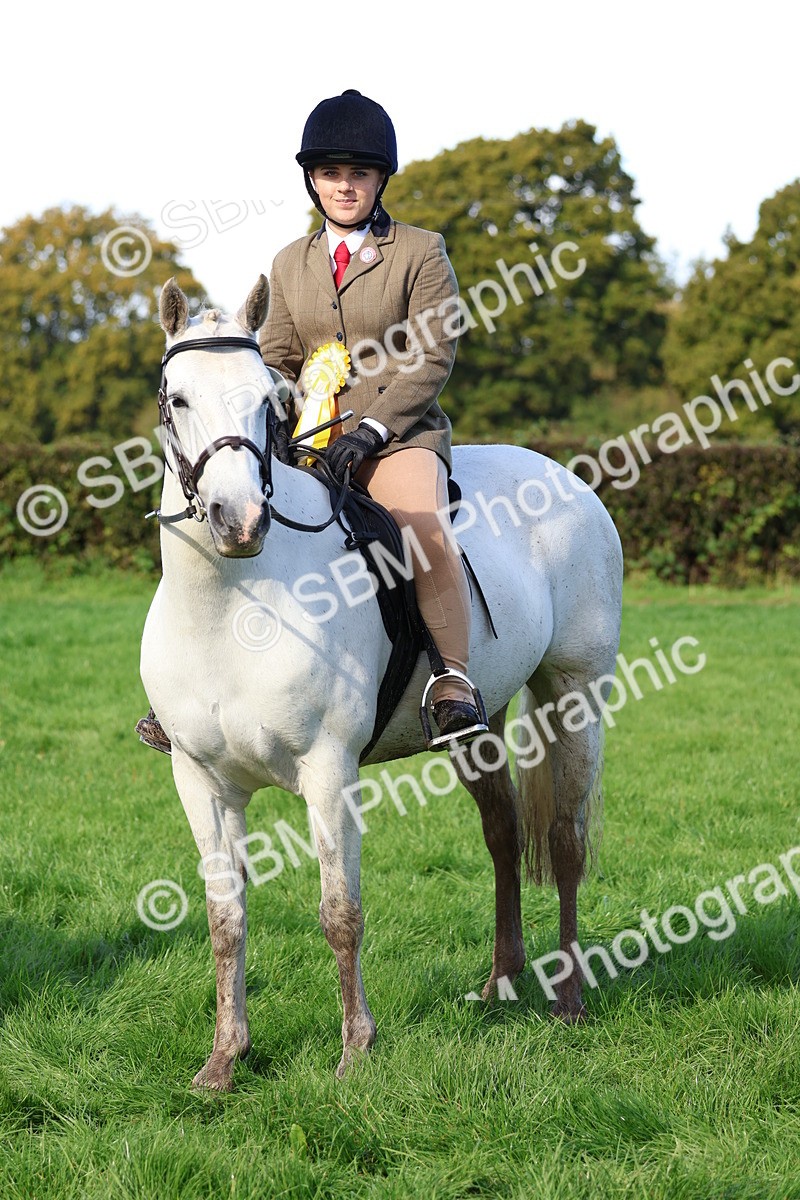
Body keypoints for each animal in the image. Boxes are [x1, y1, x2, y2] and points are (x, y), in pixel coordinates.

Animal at [139, 275, 623, 1091]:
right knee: (502, 834)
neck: (230, 605)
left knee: (564, 839)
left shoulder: (328, 772)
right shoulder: (199, 779)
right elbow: (225, 918)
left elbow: (341, 911)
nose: (239, 521)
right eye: (178, 398)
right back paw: (501, 982)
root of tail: (562, 476)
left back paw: (568, 1000)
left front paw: (355, 1051)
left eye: (265, 401)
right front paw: (224, 1061)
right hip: (478, 723)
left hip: (575, 695)